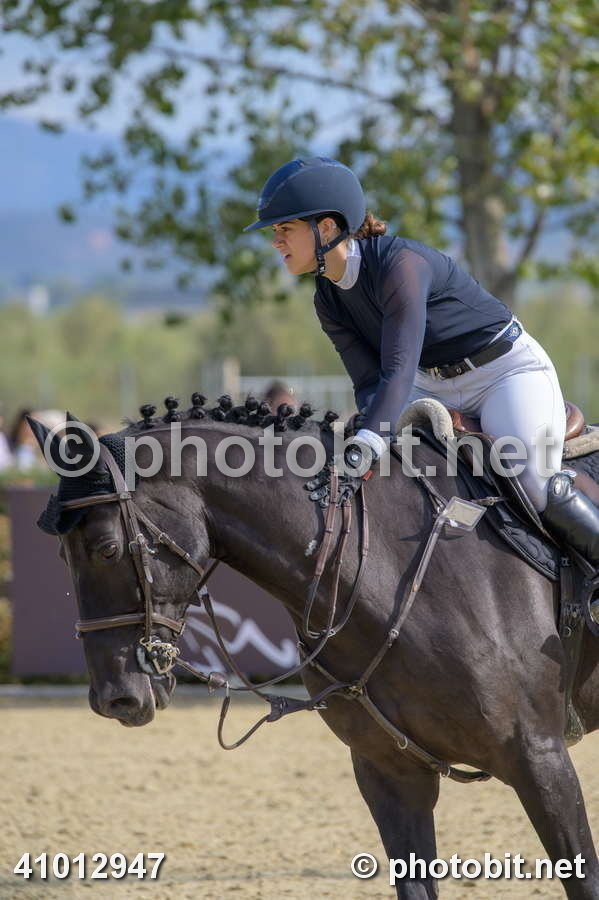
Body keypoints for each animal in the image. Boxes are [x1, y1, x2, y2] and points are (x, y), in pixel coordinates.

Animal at [27, 397, 599, 899]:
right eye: (59, 554)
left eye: (106, 549)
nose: (115, 698)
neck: (389, 573)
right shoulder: (390, 774)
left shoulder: (539, 758)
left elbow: (583, 878)